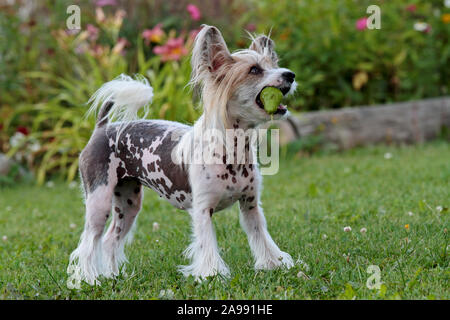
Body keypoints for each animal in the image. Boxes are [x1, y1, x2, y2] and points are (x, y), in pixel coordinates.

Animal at [67, 23, 298, 288]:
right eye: (255, 70)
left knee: (108, 240)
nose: (290, 74)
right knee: (87, 244)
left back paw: (113, 276)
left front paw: (273, 265)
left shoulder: (250, 207)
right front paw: (211, 275)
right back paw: (88, 279)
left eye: (273, 64)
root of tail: (102, 127)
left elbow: (262, 238)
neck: (232, 150)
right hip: (99, 201)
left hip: (128, 204)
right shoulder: (202, 210)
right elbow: (207, 245)